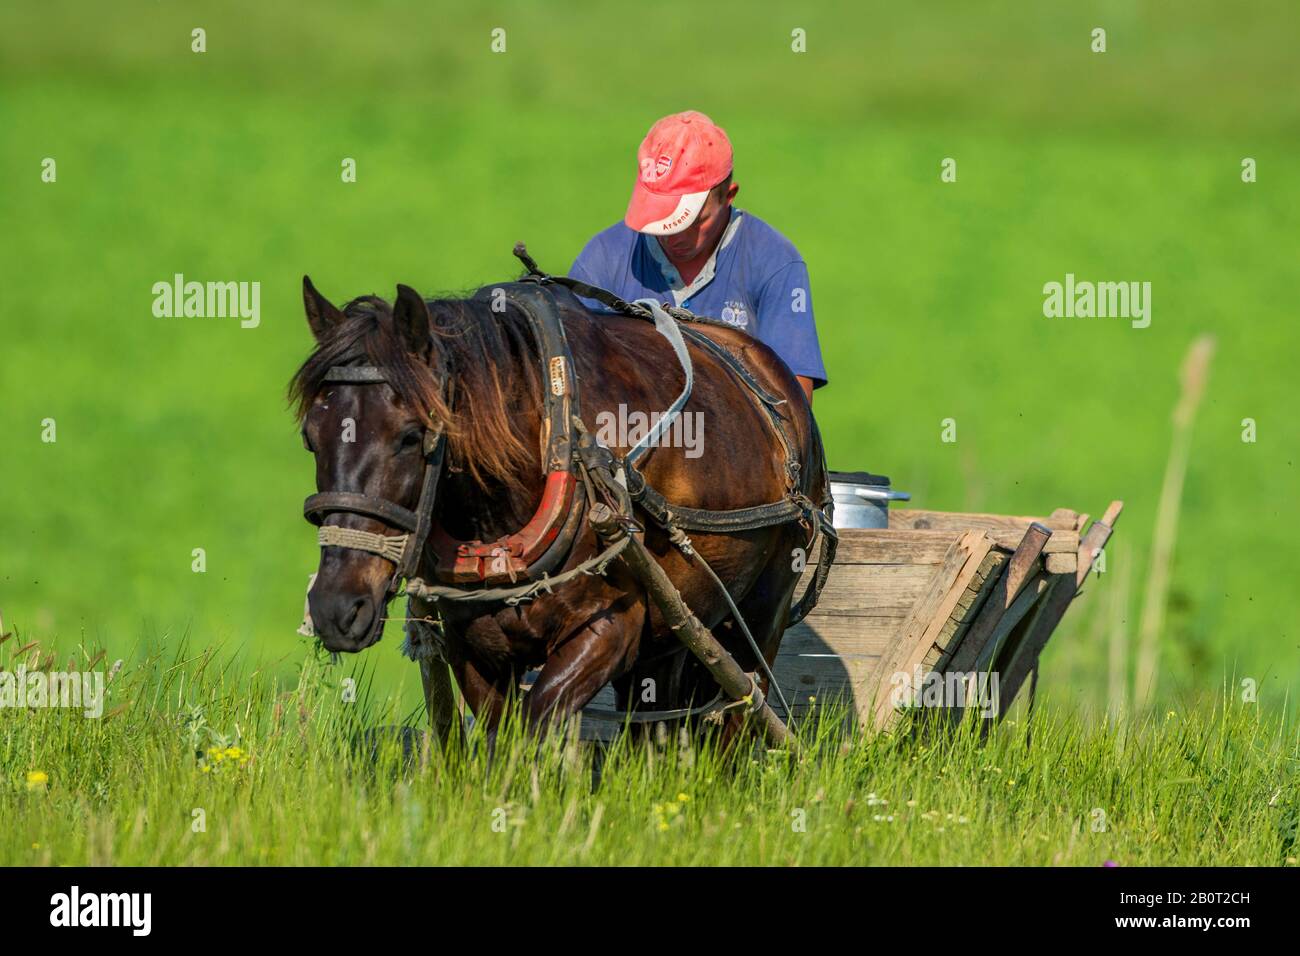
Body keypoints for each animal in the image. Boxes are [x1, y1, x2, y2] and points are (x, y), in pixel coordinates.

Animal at [289, 273, 826, 738]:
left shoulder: (607, 628)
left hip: (762, 607)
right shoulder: (473, 644)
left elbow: (533, 724)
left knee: (741, 707)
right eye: (310, 438)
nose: (337, 607)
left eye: (410, 436)